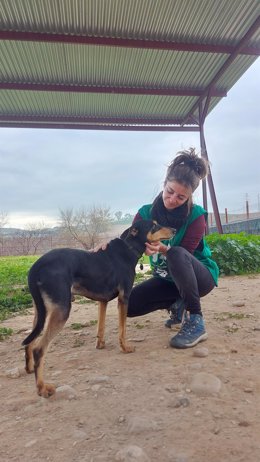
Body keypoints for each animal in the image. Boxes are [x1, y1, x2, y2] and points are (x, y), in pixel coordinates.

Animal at [22, 219, 173, 398]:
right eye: (154, 225)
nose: (174, 229)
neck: (129, 247)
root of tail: (36, 266)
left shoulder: (103, 301)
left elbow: (101, 326)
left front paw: (100, 344)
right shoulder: (124, 299)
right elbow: (122, 330)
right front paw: (125, 348)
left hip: (40, 311)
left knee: (29, 342)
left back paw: (29, 369)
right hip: (61, 310)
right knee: (39, 349)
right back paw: (42, 388)